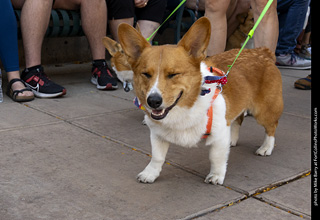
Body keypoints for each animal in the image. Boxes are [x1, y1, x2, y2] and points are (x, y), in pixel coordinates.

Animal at [116, 18, 284, 185]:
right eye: (145, 74)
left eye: (173, 74)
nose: (153, 101)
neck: (183, 108)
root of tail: (262, 52)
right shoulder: (157, 135)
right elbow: (157, 157)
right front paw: (150, 174)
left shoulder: (219, 133)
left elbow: (216, 157)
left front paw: (216, 175)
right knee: (238, 120)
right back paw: (232, 140)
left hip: (263, 112)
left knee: (271, 127)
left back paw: (266, 148)